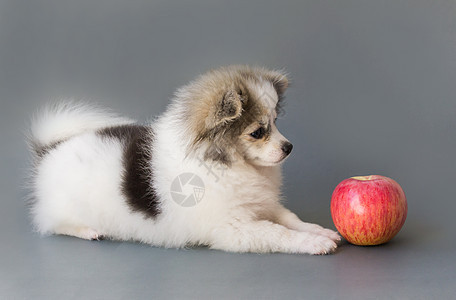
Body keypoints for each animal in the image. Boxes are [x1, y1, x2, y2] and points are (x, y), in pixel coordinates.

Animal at [26, 65, 340, 253]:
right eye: (258, 132)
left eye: (276, 122)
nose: (289, 147)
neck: (228, 164)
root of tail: (50, 149)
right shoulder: (234, 227)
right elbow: (277, 232)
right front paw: (313, 242)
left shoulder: (262, 205)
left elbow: (289, 218)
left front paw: (319, 230)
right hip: (65, 208)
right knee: (56, 224)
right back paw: (89, 231)